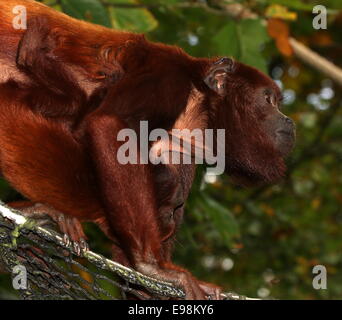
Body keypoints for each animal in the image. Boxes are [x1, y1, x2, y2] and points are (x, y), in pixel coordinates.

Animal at [0, 0, 294, 300]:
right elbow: (110, 126)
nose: (288, 121)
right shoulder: (166, 77)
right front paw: (153, 267)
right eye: (268, 100)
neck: (195, 104)